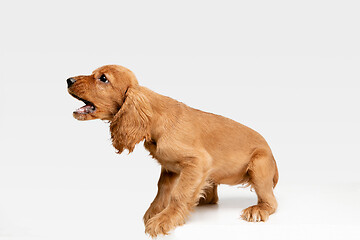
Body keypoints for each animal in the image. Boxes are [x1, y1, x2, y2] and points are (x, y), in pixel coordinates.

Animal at [66, 64, 278, 237]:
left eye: (103, 78)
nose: (68, 80)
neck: (154, 121)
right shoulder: (169, 169)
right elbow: (163, 190)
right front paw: (155, 212)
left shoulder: (197, 162)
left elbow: (179, 194)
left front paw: (164, 219)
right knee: (211, 196)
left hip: (258, 166)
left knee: (271, 202)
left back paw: (257, 210)